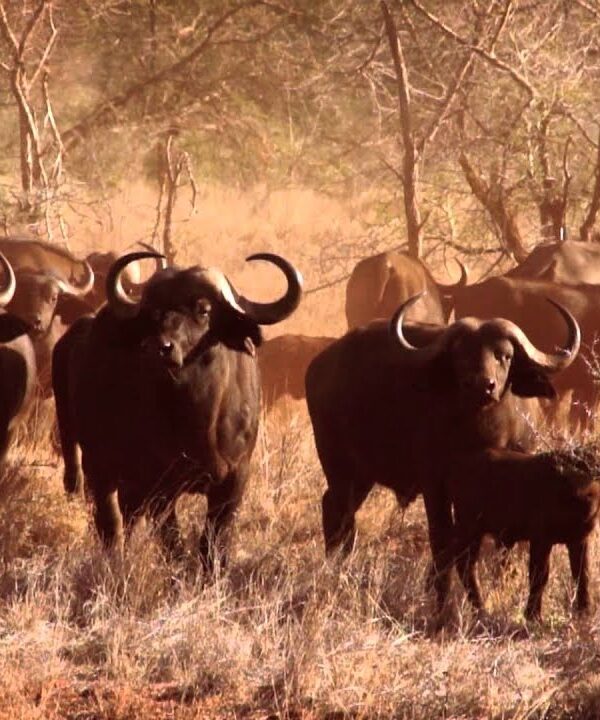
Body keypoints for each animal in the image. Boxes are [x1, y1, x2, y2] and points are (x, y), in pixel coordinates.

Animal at [53, 250, 302, 569]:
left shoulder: (235, 479)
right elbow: (173, 542)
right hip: (91, 458)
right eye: (154, 312)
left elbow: (214, 540)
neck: (198, 419)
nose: (160, 347)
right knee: (107, 519)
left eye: (203, 310)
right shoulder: (159, 485)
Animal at [305, 294, 580, 614]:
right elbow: (443, 540)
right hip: (339, 467)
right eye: (460, 355)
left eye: (505, 355)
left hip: (362, 476)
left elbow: (499, 544)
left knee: (336, 510)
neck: (484, 433)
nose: (482, 385)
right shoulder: (435, 485)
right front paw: (441, 601)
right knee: (339, 514)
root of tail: (319, 366)